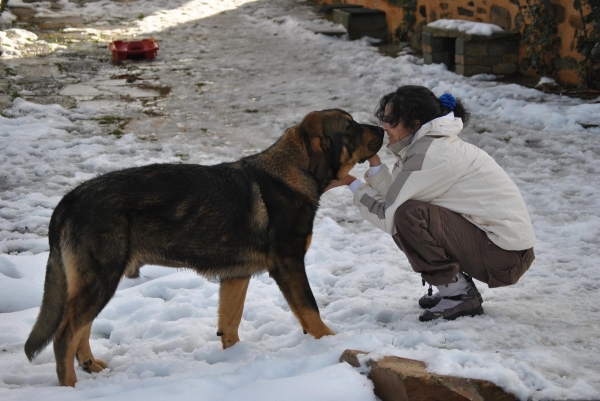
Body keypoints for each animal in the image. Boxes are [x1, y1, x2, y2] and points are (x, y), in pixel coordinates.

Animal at [24, 108, 384, 384]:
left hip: (96, 282)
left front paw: (234, 359)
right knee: (64, 336)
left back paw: (89, 365)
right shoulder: (289, 264)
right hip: (101, 279)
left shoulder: (236, 277)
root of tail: (69, 200)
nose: (382, 128)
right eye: (350, 127)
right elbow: (310, 311)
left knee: (80, 328)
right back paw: (69, 386)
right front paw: (331, 345)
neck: (294, 169)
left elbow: (230, 324)